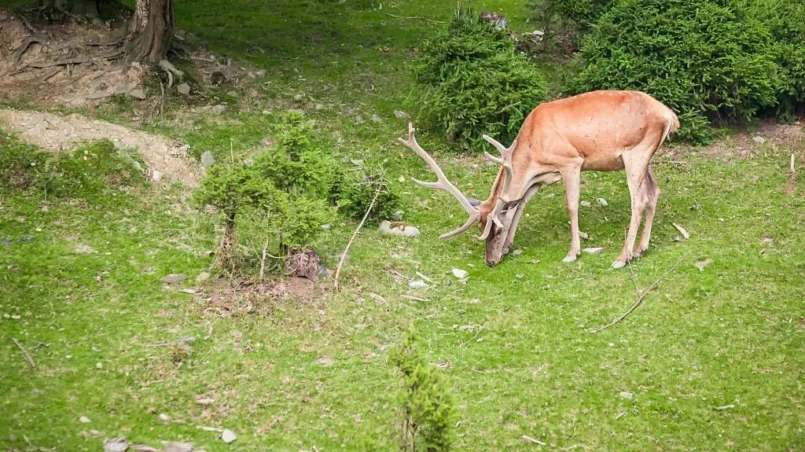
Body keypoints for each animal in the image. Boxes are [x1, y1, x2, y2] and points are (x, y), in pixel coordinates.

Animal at [396, 88, 680, 268]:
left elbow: (571, 206)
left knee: (639, 200)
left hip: (636, 152)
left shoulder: (571, 161)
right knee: (654, 192)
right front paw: (510, 246)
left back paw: (623, 257)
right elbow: (520, 204)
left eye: (495, 231)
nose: (490, 262)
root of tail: (670, 116)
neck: (533, 149)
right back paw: (641, 248)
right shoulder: (539, 177)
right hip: (646, 157)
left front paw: (573, 252)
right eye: (481, 230)